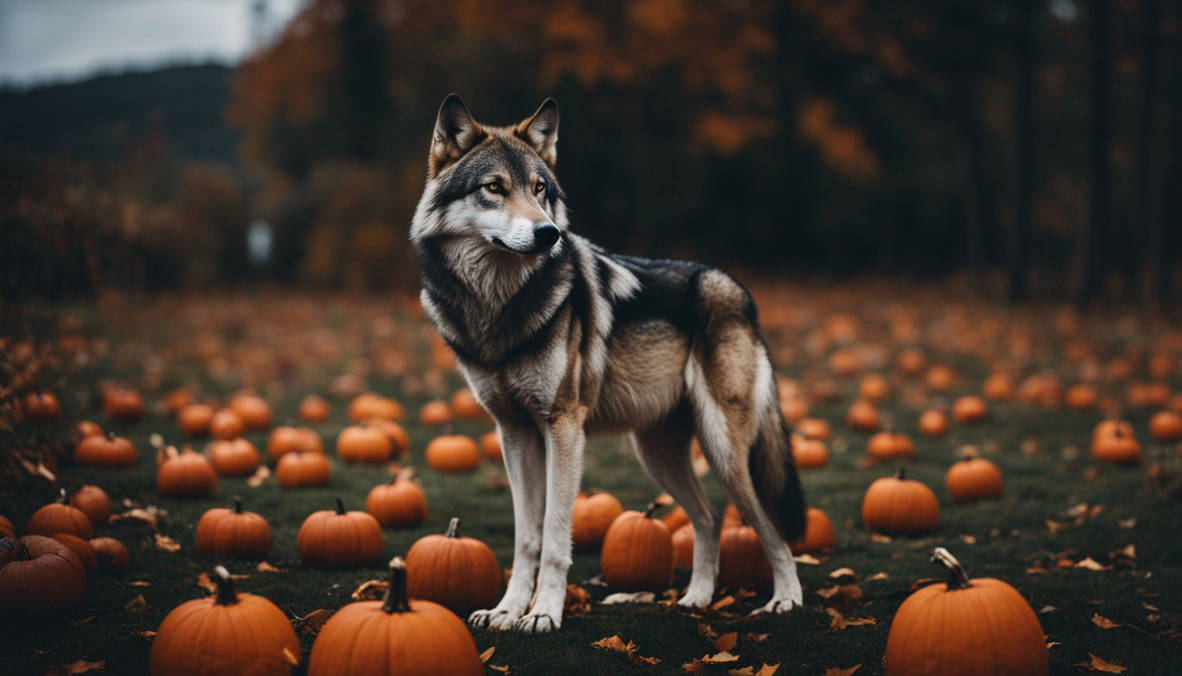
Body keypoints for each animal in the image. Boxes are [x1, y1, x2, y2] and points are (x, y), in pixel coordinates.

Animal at [410, 94, 806, 633]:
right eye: (494, 187)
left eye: (540, 189)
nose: (548, 233)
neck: (498, 305)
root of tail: (738, 290)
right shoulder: (513, 433)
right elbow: (527, 537)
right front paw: (507, 611)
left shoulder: (563, 427)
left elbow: (556, 536)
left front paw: (544, 613)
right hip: (657, 454)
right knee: (708, 519)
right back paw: (697, 597)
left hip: (723, 450)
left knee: (768, 525)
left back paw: (786, 600)